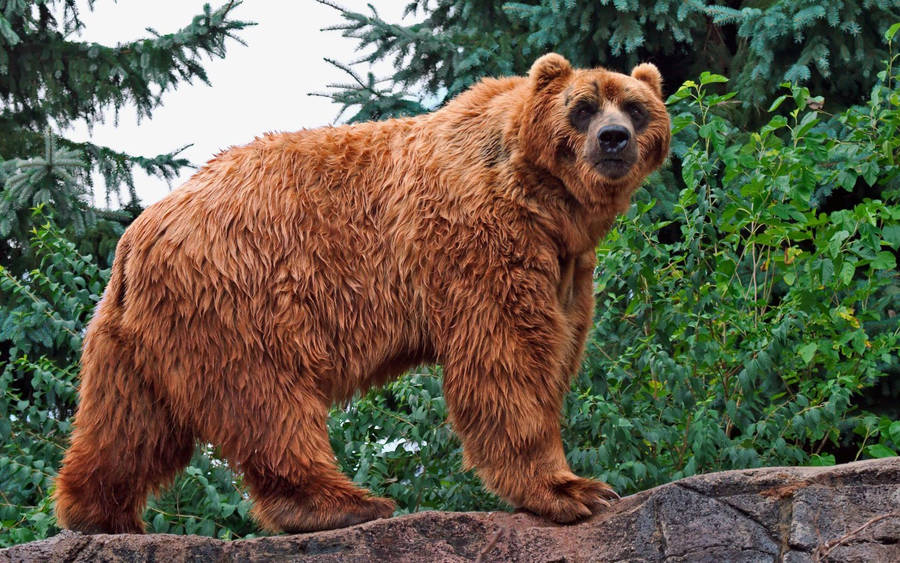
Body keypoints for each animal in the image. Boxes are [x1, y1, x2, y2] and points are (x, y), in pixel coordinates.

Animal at [54, 53, 671, 534]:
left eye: (636, 107)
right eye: (582, 107)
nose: (613, 138)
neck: (545, 200)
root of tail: (138, 235)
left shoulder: (566, 262)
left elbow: (558, 343)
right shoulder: (481, 239)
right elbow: (507, 357)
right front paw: (575, 489)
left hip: (139, 334)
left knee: (131, 422)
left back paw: (98, 513)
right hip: (241, 291)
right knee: (267, 400)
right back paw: (344, 503)